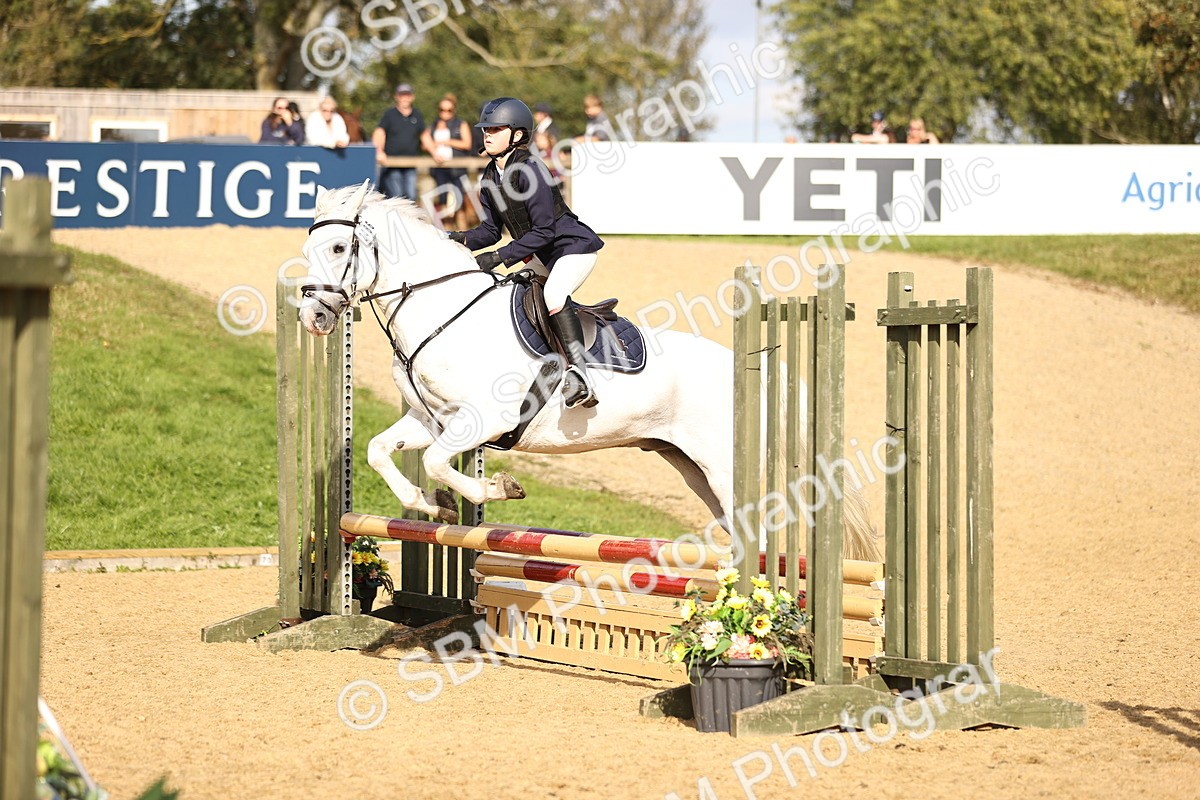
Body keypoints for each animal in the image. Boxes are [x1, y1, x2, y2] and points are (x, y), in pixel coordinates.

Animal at [298, 181, 879, 560]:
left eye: (338, 246)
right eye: (307, 246)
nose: (312, 317)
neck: (444, 309)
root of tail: (751, 367)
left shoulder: (485, 418)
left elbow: (439, 462)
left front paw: (497, 489)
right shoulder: (432, 419)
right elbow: (379, 451)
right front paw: (432, 506)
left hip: (724, 464)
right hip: (693, 466)